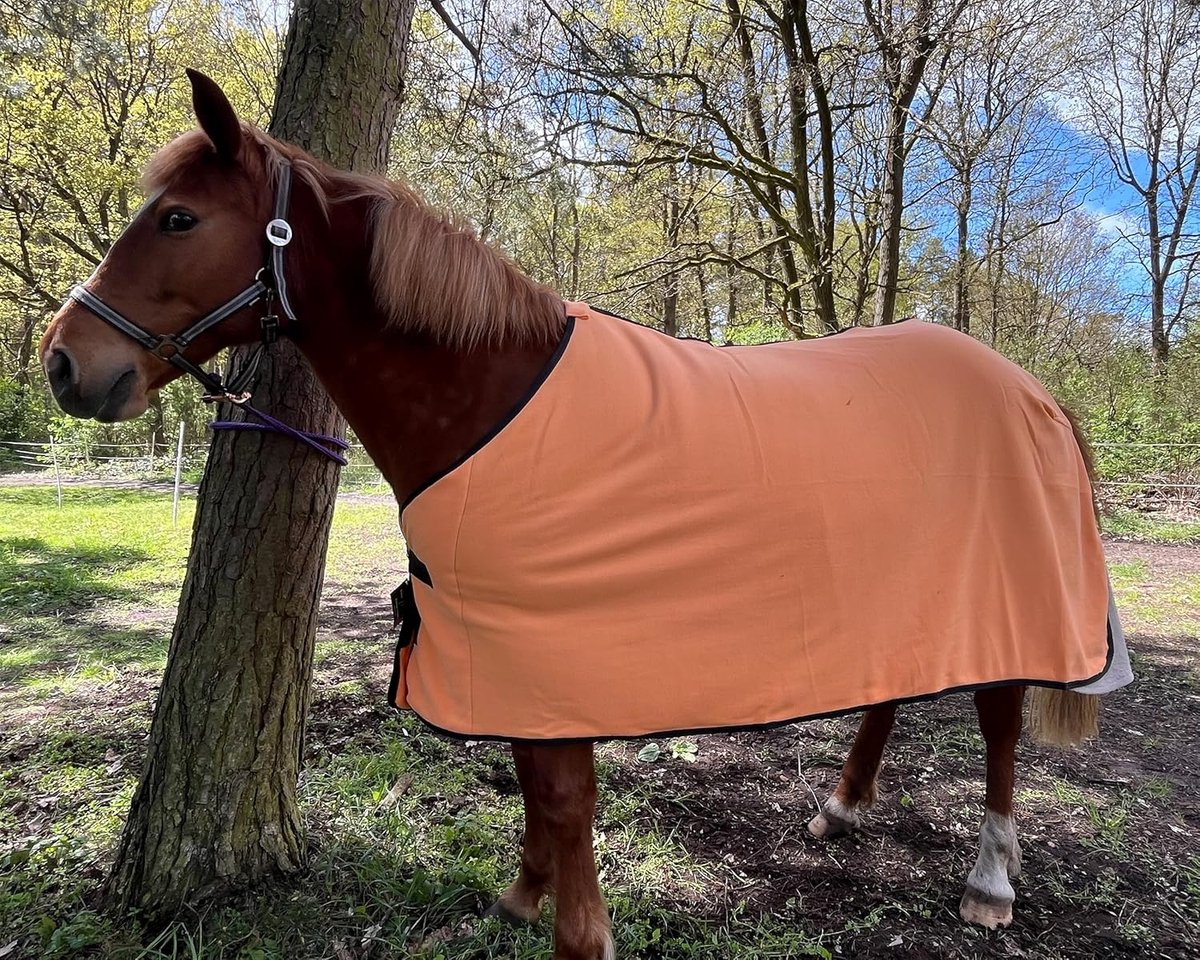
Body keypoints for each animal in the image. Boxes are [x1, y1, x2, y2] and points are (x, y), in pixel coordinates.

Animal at [41, 71, 1131, 960]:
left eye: (178, 219)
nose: (62, 362)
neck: (490, 396)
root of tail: (1029, 388)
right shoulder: (509, 648)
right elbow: (532, 782)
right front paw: (523, 896)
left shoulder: (554, 643)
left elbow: (564, 796)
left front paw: (577, 932)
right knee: (890, 689)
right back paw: (840, 808)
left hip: (1006, 595)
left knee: (999, 717)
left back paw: (989, 880)